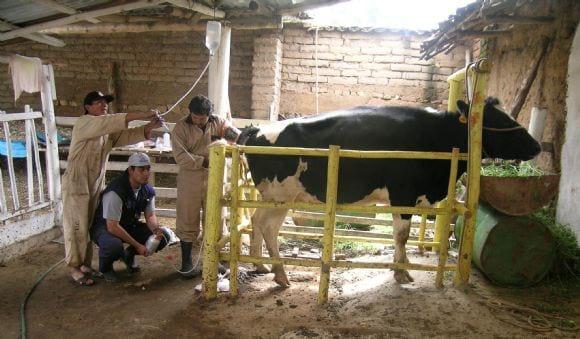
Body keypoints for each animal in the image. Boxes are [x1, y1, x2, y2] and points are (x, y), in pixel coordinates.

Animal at [238, 98, 540, 286]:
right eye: (501, 121)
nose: (537, 146)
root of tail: (257, 130)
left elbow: (401, 236)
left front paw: (402, 267)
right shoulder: (403, 194)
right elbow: (402, 235)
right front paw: (401, 273)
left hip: (274, 197)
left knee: (255, 221)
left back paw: (260, 265)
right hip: (281, 196)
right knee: (267, 226)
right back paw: (279, 273)